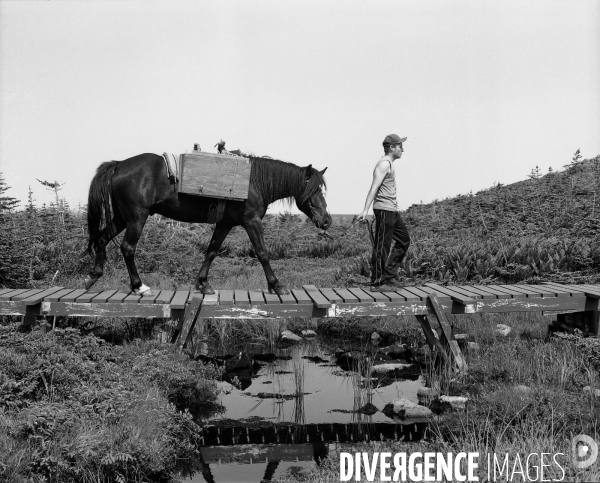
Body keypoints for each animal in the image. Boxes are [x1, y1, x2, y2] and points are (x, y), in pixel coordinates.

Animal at [83, 152, 332, 294]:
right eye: (315, 189)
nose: (327, 220)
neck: (252, 182)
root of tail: (119, 165)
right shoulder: (251, 221)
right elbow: (262, 252)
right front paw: (276, 285)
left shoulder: (225, 224)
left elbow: (212, 251)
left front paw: (203, 283)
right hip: (136, 217)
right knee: (128, 248)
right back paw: (138, 286)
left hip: (122, 217)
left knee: (102, 239)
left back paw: (93, 276)